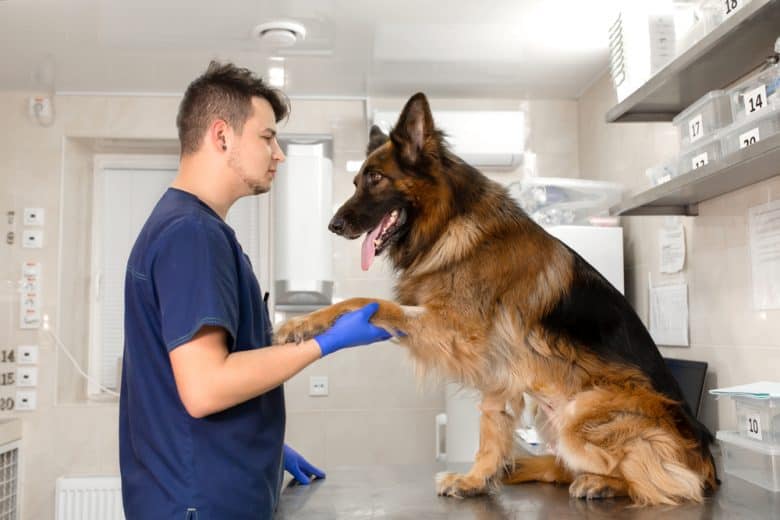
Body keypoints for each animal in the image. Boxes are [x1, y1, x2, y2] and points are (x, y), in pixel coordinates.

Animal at [276, 92, 720, 504]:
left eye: (376, 178)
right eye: (356, 181)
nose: (333, 225)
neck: (449, 225)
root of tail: (708, 461)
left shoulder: (458, 331)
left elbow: (365, 303)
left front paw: (300, 323)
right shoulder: (497, 369)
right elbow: (491, 428)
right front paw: (476, 479)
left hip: (580, 415)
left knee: (665, 481)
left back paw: (604, 483)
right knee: (568, 467)